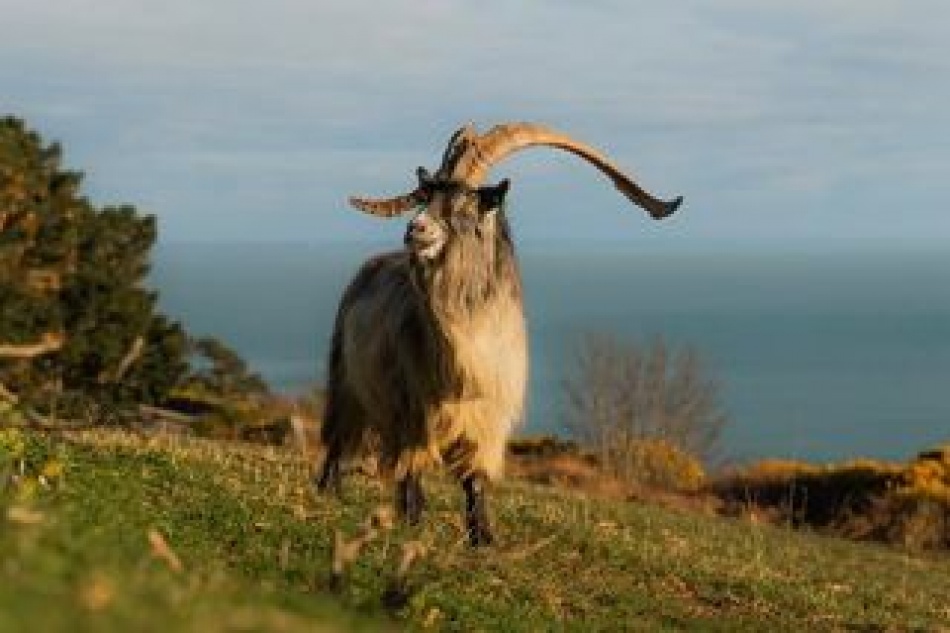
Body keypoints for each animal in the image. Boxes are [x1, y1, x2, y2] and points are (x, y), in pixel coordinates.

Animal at [316, 122, 681, 546]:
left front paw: (484, 539)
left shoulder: (487, 416)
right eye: (426, 197)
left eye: (466, 204)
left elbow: (475, 479)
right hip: (346, 381)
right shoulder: (413, 408)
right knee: (340, 439)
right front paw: (415, 523)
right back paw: (329, 492)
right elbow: (413, 468)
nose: (414, 229)